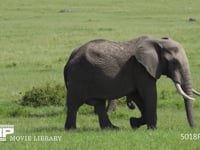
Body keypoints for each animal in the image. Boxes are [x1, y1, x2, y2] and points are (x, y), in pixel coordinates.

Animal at [63, 35, 199, 130]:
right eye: (174, 62)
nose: (193, 128)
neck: (158, 41)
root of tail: (70, 58)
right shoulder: (140, 69)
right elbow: (149, 94)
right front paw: (152, 129)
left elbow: (137, 95)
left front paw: (133, 123)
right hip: (79, 76)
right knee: (74, 103)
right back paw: (71, 129)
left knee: (98, 103)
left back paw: (112, 129)